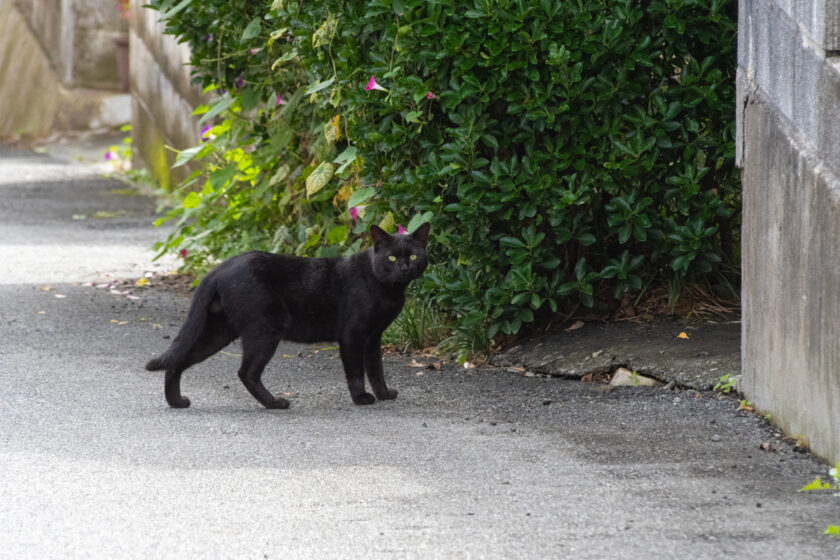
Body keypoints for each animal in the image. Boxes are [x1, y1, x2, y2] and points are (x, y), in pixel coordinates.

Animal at [144, 224, 430, 412]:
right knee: (246, 372)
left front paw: (384, 394)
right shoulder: (353, 335)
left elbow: (376, 368)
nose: (404, 267)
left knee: (178, 361)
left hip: (218, 332)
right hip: (264, 329)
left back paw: (177, 402)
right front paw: (361, 398)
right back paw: (275, 403)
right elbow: (356, 372)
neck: (389, 289)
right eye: (391, 257)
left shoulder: (374, 336)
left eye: (413, 255)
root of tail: (220, 268)